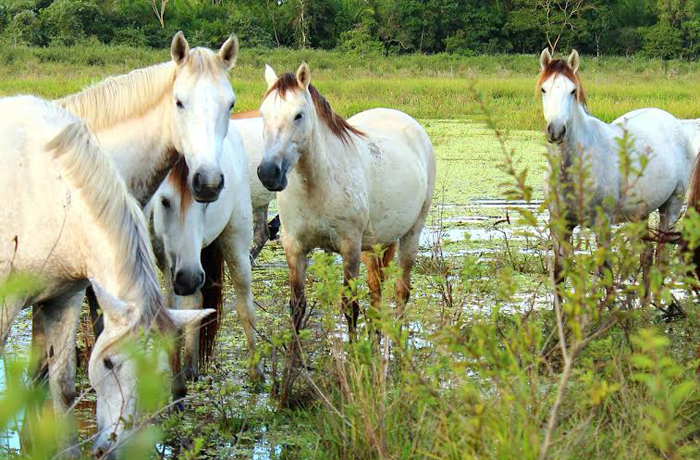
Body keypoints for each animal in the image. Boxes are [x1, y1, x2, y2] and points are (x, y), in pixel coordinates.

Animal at [0, 95, 211, 458]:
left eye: (157, 372)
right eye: (109, 363)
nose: (112, 448)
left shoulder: (63, 301)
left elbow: (63, 389)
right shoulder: (6, 304)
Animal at [149, 119, 264, 398]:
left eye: (205, 202)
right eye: (164, 201)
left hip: (233, 242)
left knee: (244, 305)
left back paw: (256, 372)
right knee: (195, 301)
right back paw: (190, 367)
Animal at [540, 49, 696, 294]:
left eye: (573, 91)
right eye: (544, 89)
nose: (556, 130)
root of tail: (675, 122)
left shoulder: (602, 224)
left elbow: (606, 273)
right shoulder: (559, 224)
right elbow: (560, 274)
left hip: (671, 206)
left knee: (661, 258)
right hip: (640, 214)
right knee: (646, 255)